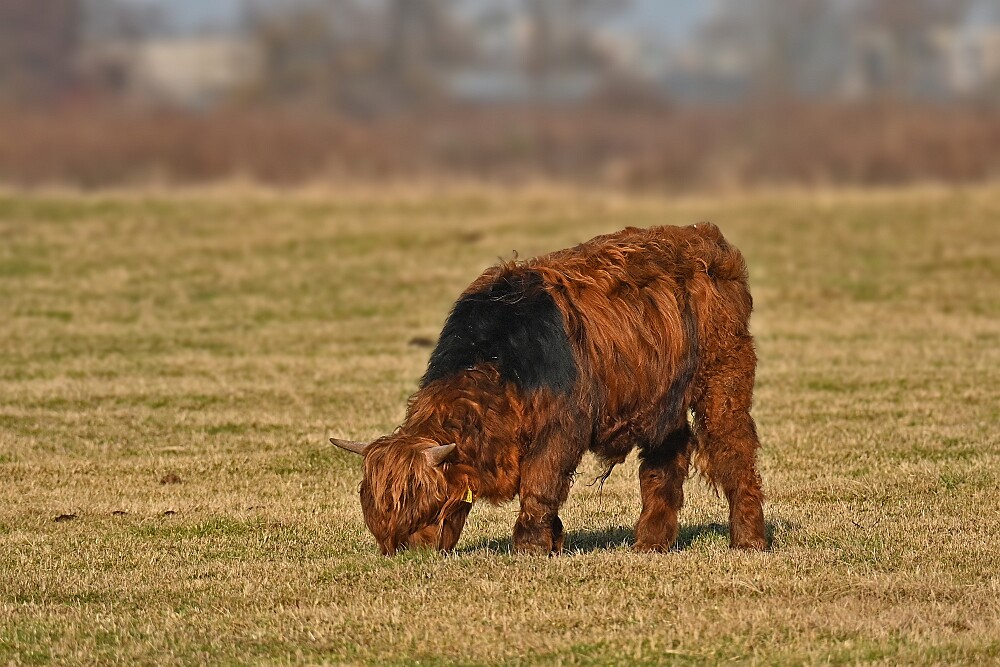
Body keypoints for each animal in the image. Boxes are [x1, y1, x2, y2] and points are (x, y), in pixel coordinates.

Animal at [331, 223, 767, 555]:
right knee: (665, 462)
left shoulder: (561, 429)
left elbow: (540, 485)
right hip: (662, 404)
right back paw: (650, 543)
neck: (500, 365)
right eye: (377, 520)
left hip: (723, 381)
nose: (408, 554)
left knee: (734, 450)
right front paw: (553, 542)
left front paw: (530, 546)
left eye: (429, 507)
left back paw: (748, 540)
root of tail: (706, 240)